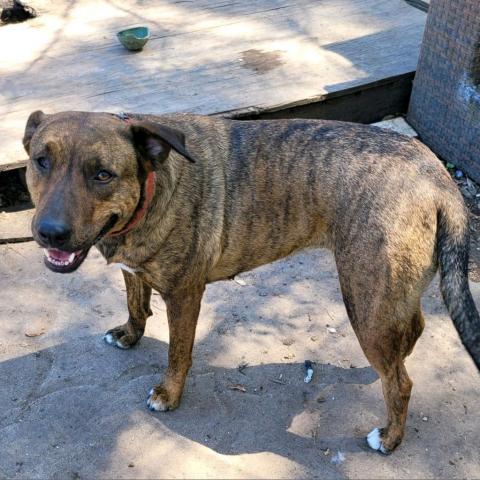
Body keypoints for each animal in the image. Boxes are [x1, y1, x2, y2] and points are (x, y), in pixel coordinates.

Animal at [23, 110, 480, 456]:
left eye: (103, 174)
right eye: (41, 161)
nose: (50, 233)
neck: (153, 185)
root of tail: (439, 178)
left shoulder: (184, 295)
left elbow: (178, 353)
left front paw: (169, 394)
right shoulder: (135, 271)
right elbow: (136, 303)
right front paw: (129, 334)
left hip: (365, 301)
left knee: (401, 383)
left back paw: (389, 437)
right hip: (389, 299)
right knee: (409, 336)